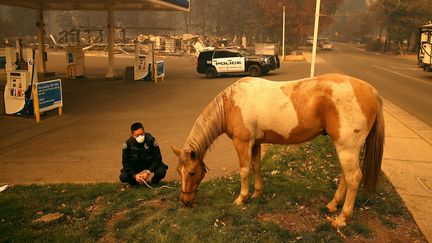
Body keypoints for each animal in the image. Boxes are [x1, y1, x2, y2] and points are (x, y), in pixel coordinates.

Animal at [170, 72, 384, 228]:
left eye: (192, 172)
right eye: (179, 171)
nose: (185, 201)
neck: (231, 103)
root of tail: (369, 89)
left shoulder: (242, 143)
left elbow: (244, 170)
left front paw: (241, 198)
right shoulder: (256, 143)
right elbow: (256, 166)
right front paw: (257, 193)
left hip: (347, 147)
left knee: (354, 177)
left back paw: (342, 218)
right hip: (346, 148)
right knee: (345, 175)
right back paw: (333, 205)